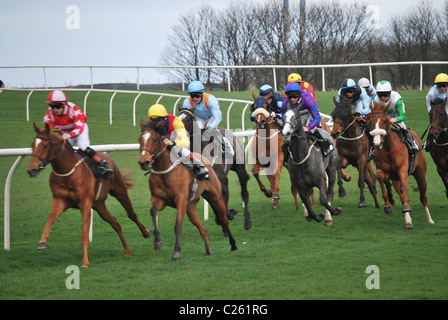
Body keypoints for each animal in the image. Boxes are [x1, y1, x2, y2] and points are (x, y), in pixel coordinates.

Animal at [27, 122, 151, 268]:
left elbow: (84, 235)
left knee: (131, 214)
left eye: (45, 145)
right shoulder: (60, 200)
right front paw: (42, 242)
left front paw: (85, 262)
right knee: (115, 223)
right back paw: (127, 250)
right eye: (32, 145)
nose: (31, 170)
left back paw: (146, 233)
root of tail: (108, 158)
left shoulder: (85, 203)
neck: (67, 174)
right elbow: (50, 218)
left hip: (119, 192)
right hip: (99, 205)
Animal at [138, 117, 238, 260]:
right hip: (191, 206)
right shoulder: (160, 200)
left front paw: (176, 251)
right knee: (203, 229)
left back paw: (233, 244)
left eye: (155, 140)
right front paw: (157, 242)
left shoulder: (181, 201)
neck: (164, 172)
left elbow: (178, 226)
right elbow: (153, 211)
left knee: (224, 219)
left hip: (215, 196)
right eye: (139, 140)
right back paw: (208, 250)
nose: (144, 162)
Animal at [368, 101, 434, 229]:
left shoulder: (403, 169)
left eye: (385, 120)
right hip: (396, 179)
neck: (389, 149)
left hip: (420, 174)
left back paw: (429, 219)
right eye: (370, 121)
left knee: (423, 197)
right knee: (402, 195)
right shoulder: (381, 168)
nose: (377, 143)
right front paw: (388, 206)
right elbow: (380, 177)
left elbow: (404, 189)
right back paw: (408, 219)